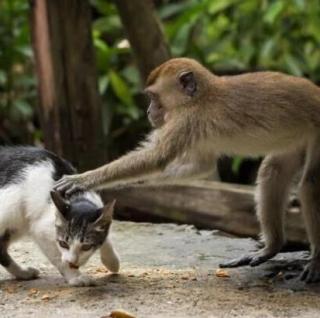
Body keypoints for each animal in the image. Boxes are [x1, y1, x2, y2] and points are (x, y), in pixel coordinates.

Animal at [0, 145, 119, 286]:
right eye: (63, 244)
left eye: (86, 246)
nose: (72, 262)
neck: (76, 198)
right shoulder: (40, 229)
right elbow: (58, 257)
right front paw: (74, 276)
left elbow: (106, 236)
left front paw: (112, 261)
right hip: (11, 210)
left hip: (18, 222)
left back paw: (23, 273)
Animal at [55, 57, 320, 284]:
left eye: (153, 97)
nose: (149, 112)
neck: (199, 96)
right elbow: (201, 165)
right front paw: (135, 185)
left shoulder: (186, 119)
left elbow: (156, 158)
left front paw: (85, 179)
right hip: (297, 138)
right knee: (271, 173)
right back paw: (272, 247)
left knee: (310, 185)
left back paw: (316, 258)